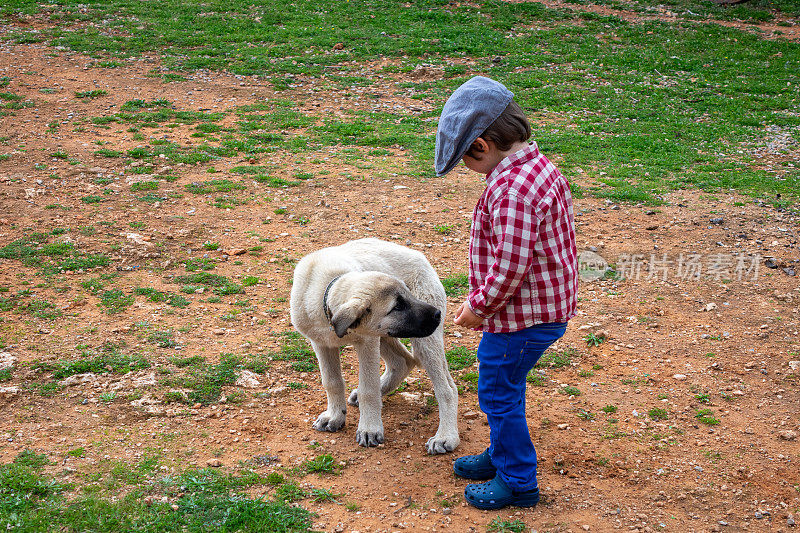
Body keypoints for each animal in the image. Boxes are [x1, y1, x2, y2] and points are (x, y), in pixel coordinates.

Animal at [290, 239, 460, 450]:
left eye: (408, 294)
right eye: (397, 306)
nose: (437, 314)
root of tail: (419, 255)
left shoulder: (367, 342)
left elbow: (368, 389)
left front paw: (369, 428)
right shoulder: (322, 343)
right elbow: (332, 382)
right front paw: (335, 416)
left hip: (422, 341)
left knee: (447, 389)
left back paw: (446, 436)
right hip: (386, 335)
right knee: (403, 362)